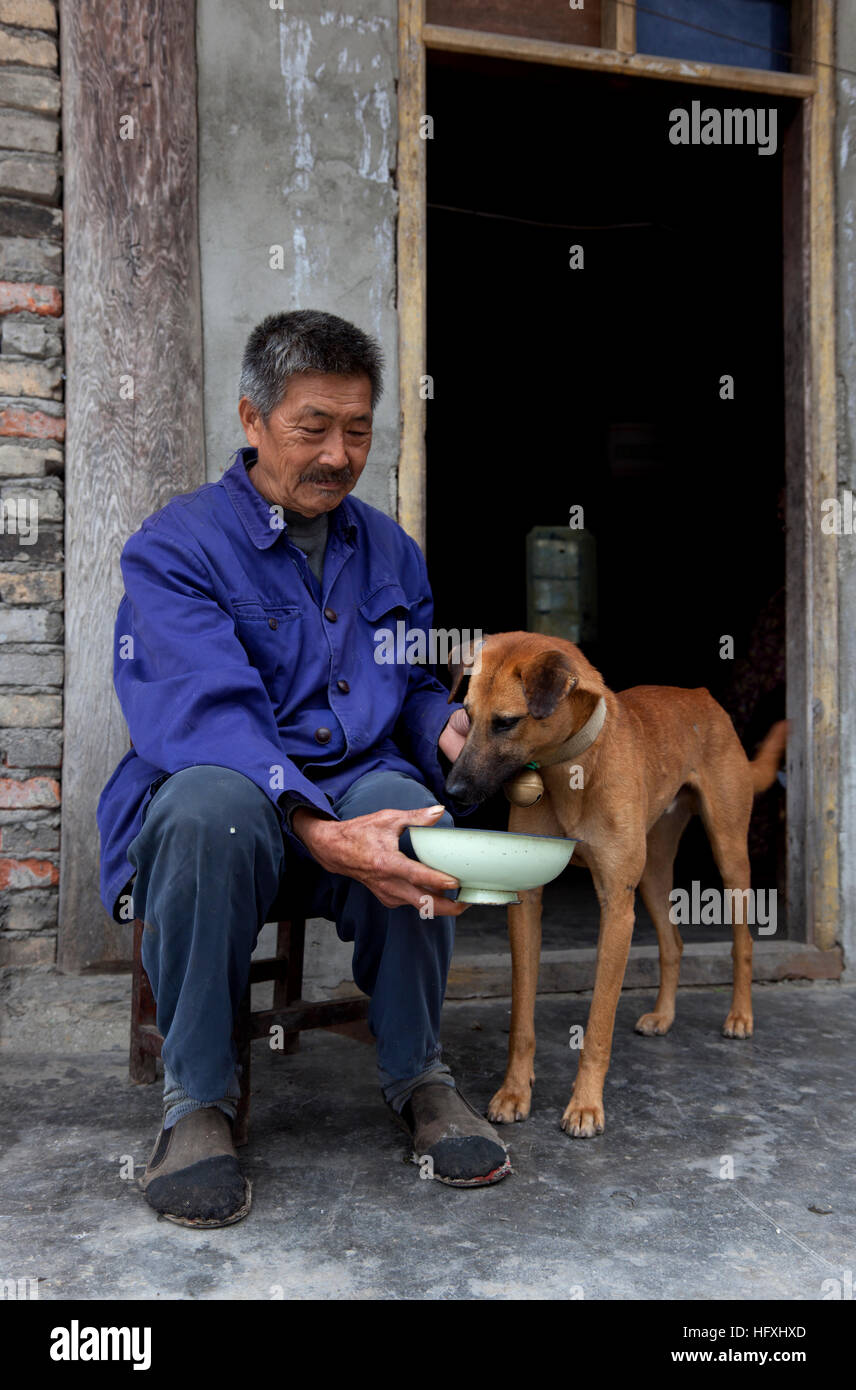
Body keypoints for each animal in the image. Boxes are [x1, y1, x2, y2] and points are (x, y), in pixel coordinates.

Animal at [444, 636, 783, 1134]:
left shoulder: (617, 910)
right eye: (466, 714)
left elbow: (599, 1024)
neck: (570, 768)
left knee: (743, 941)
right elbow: (521, 1018)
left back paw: (740, 1015)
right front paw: (514, 1092)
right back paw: (664, 1015)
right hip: (654, 873)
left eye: (506, 722)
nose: (453, 790)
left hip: (729, 856)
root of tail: (701, 695)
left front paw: (585, 1105)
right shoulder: (527, 903)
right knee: (673, 942)